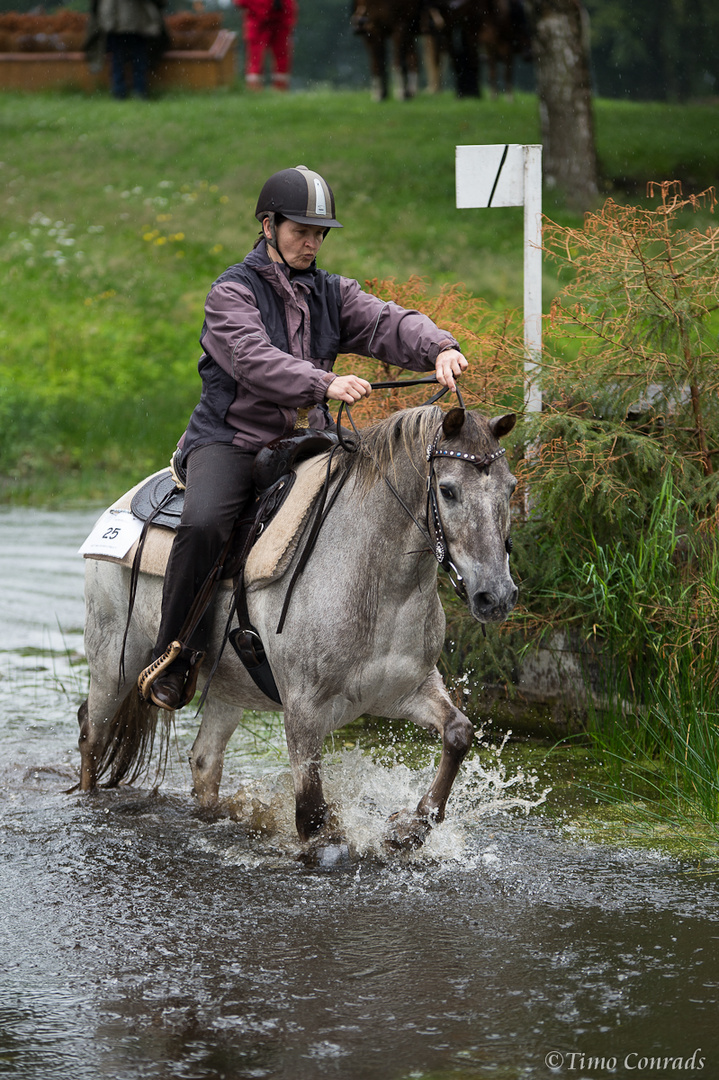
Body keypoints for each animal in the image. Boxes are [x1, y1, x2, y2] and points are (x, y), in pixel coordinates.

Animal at [78, 406, 516, 851]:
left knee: (204, 761)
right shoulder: (304, 713)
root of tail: (124, 502)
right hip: (113, 663)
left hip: (226, 689)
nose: (496, 596)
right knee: (92, 735)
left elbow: (458, 733)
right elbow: (312, 816)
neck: (377, 583)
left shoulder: (404, 690)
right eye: (447, 490)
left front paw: (412, 825)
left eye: (510, 487)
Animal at [349, 0, 528, 100]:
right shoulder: (373, 31)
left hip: (469, 25)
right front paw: (380, 95)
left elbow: (398, 62)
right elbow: (377, 64)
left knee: (471, 58)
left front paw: (400, 93)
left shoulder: (400, 26)